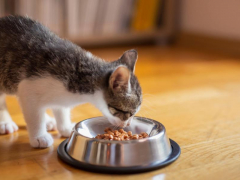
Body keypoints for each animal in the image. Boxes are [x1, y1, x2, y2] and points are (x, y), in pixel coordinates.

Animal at [0, 15, 142, 148]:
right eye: (127, 113)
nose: (127, 124)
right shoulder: (28, 86)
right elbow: (34, 114)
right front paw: (39, 137)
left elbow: (60, 109)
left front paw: (65, 127)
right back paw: (5, 122)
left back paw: (48, 120)